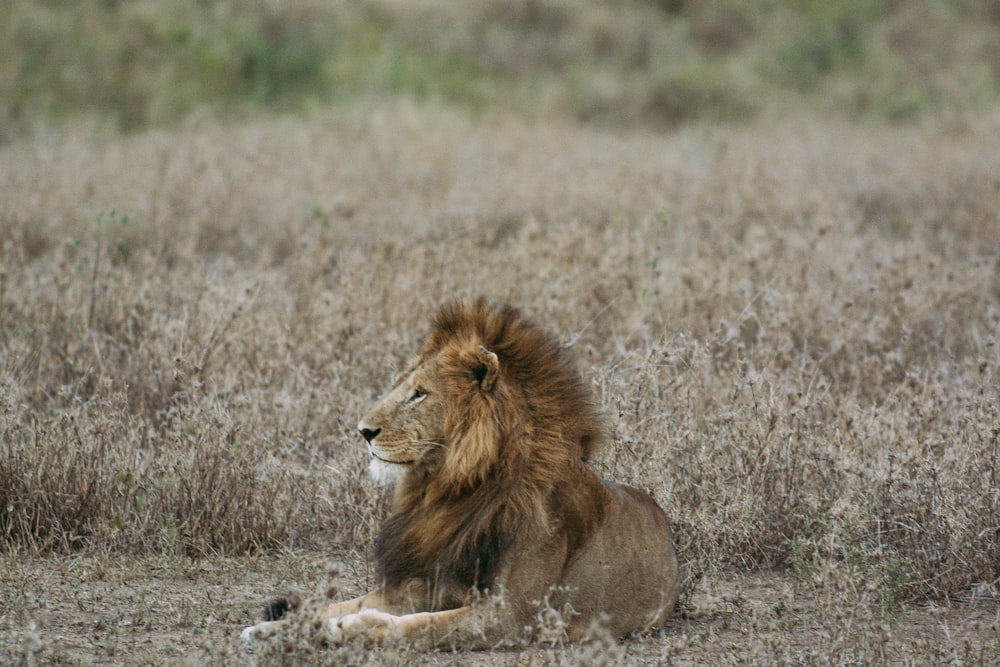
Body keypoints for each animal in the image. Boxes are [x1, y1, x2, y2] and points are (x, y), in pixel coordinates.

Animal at [242, 300, 680, 648]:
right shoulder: (425, 583)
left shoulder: (513, 616)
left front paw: (353, 628)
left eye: (419, 393)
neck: (449, 491)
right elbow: (333, 605)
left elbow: (420, 626)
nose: (363, 431)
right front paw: (273, 628)